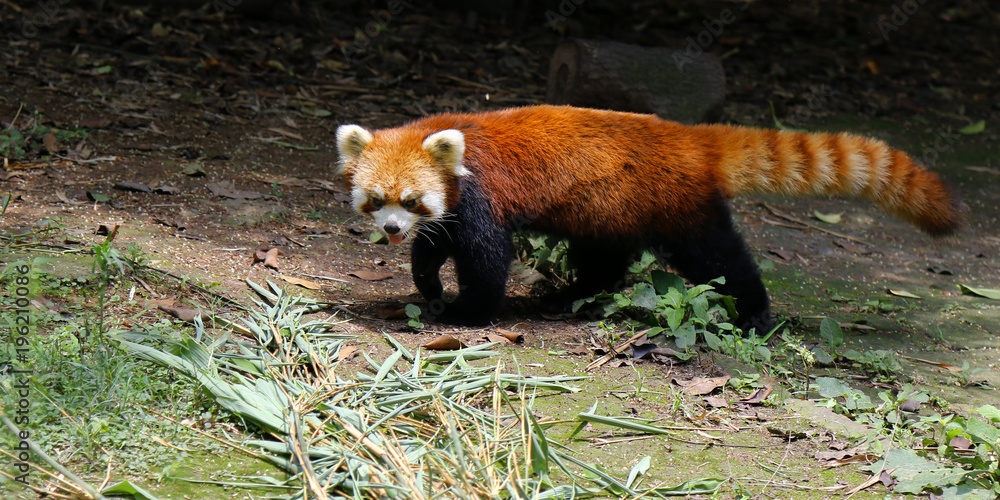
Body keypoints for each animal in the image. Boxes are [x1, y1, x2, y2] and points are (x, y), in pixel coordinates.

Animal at [338, 105, 968, 328]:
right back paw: (571, 298)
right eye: (377, 200)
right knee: (604, 260)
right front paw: (426, 283)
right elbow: (435, 246)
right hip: (606, 209)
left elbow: (487, 261)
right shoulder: (456, 208)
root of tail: (689, 139)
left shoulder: (482, 199)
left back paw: (755, 312)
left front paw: (467, 313)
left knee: (717, 258)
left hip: (677, 209)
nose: (390, 230)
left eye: (410, 200)